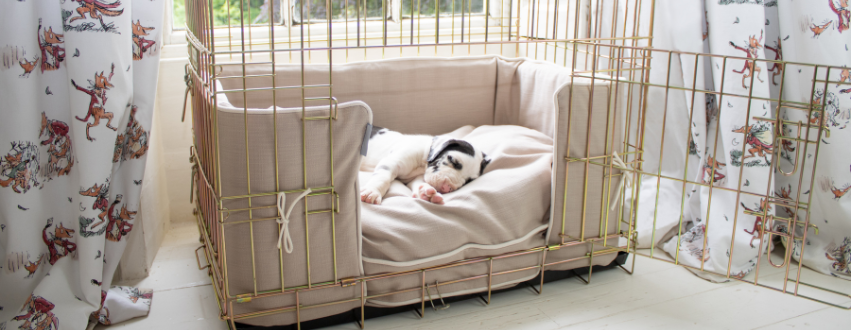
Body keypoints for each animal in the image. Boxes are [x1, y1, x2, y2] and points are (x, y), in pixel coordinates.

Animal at [362, 125, 492, 205]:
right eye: (453, 160)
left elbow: (419, 183)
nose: (447, 188)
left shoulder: (416, 178)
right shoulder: (391, 163)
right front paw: (372, 192)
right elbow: (381, 179)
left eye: (468, 181)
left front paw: (426, 192)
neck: (422, 162)